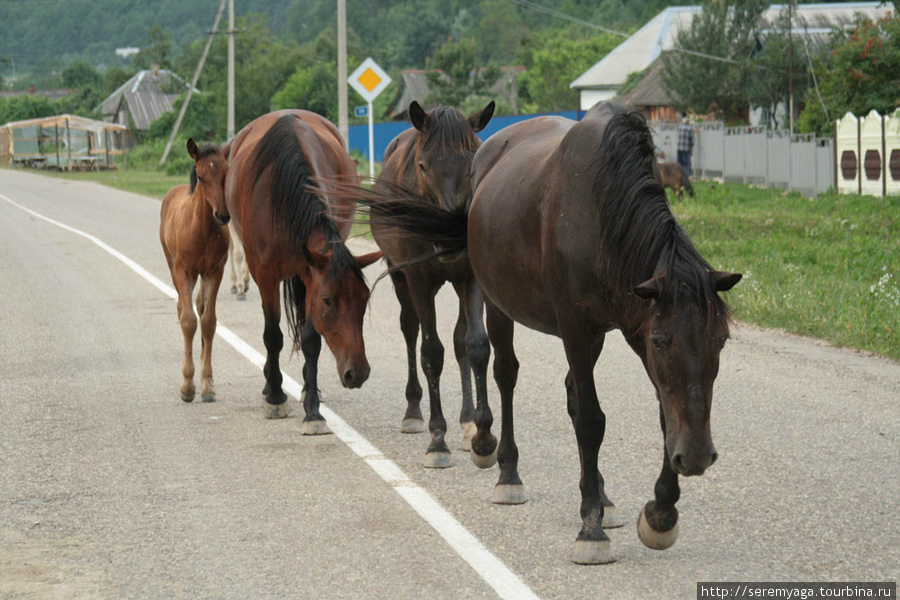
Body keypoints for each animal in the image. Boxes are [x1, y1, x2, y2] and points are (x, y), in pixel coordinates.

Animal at [162, 137, 232, 404]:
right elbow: (188, 320)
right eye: (201, 177)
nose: (222, 215)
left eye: (226, 172)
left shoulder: (215, 271)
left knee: (200, 306)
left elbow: (209, 321)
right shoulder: (184, 272)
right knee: (182, 308)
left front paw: (208, 384)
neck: (202, 229)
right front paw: (188, 386)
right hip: (173, 266)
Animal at [225, 110, 384, 432]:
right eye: (328, 301)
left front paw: (313, 409)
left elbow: (311, 341)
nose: (357, 372)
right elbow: (272, 336)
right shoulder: (265, 275)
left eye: (364, 301)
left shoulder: (311, 276)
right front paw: (275, 397)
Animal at [364, 101, 492, 468]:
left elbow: (475, 344)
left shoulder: (470, 276)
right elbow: (431, 352)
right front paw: (438, 440)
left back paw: (466, 420)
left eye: (472, 163)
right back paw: (413, 411)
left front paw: (481, 434)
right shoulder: (418, 278)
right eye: (423, 165)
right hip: (400, 275)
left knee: (460, 340)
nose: (449, 239)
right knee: (411, 330)